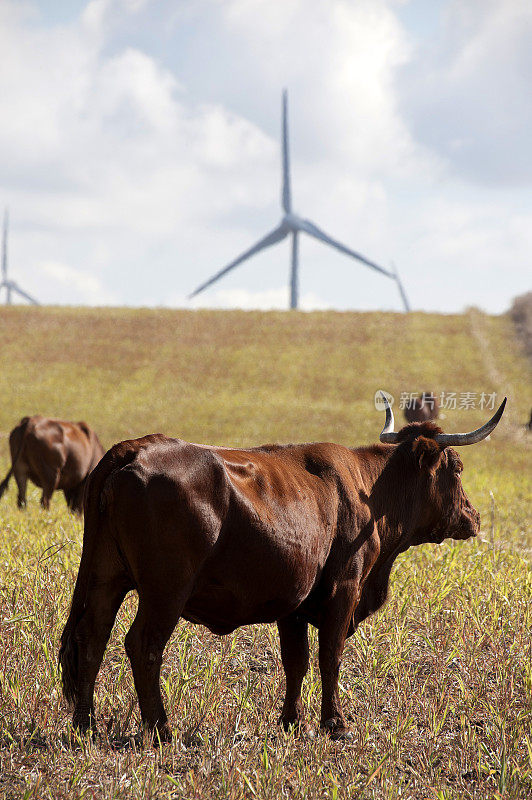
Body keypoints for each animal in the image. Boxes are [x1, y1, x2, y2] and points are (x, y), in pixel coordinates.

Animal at [60, 396, 504, 740]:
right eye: (457, 467)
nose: (474, 517)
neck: (368, 493)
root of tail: (133, 448)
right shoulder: (343, 590)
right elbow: (330, 656)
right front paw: (335, 723)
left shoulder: (294, 602)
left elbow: (296, 661)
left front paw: (292, 721)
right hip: (165, 592)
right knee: (143, 645)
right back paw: (160, 728)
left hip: (105, 580)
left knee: (91, 638)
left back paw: (86, 725)